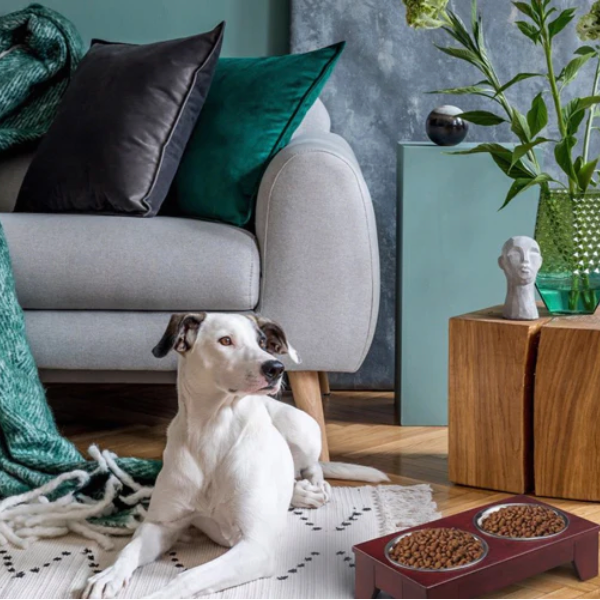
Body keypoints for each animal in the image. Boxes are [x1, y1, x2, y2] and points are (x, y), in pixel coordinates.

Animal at [82, 312, 386, 596]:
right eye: (225, 341)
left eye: (263, 343)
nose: (276, 368)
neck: (213, 432)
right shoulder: (160, 524)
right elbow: (129, 550)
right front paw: (107, 576)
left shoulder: (255, 547)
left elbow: (189, 576)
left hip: (301, 428)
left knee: (313, 467)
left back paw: (310, 489)